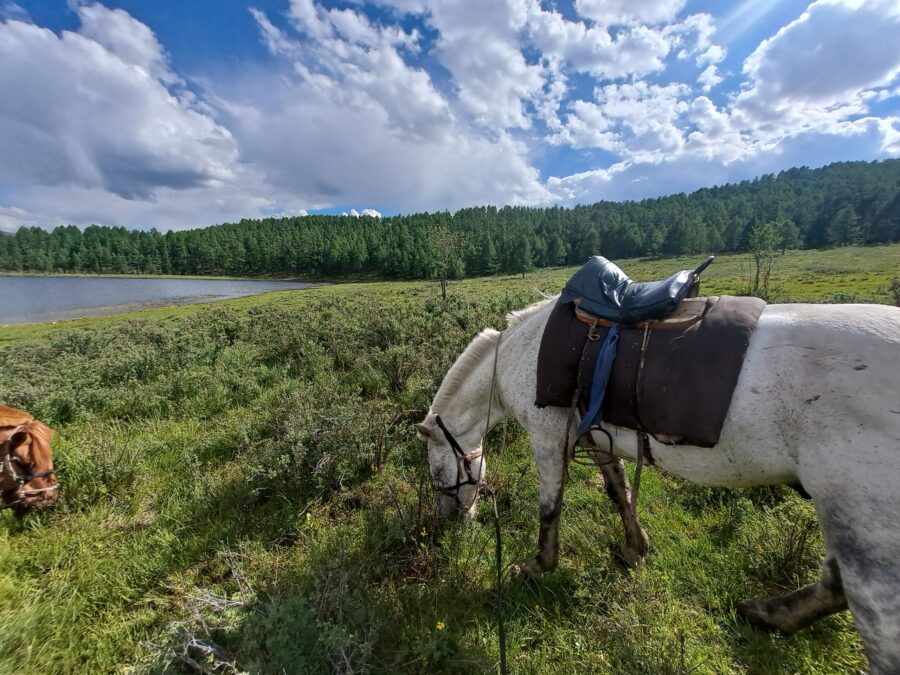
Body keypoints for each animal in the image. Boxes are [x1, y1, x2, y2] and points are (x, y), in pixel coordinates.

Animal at [418, 302, 900, 675]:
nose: (452, 520)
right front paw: (635, 548)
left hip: (861, 515)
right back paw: (771, 614)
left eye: (437, 473)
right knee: (834, 585)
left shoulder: (549, 439)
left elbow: (550, 508)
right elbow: (618, 494)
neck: (515, 358)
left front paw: (539, 565)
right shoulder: (594, 438)